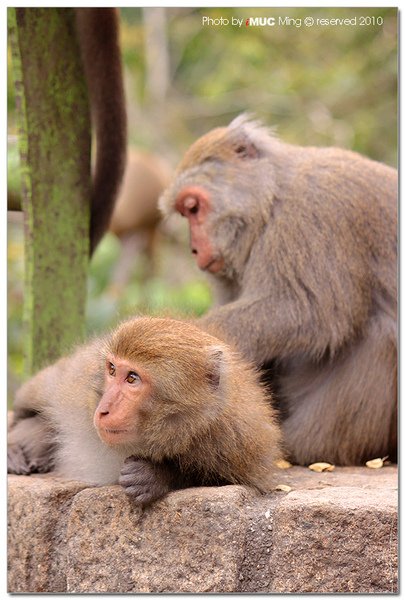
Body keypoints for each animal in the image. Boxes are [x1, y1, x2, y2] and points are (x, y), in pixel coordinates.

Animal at [8, 316, 280, 504]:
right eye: (112, 369)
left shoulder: (238, 444)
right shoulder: (80, 378)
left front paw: (155, 475)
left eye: (132, 379)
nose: (103, 410)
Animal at [159, 115, 396, 466]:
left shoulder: (311, 213)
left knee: (382, 333)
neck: (272, 199)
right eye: (185, 212)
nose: (194, 249)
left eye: (193, 207)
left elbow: (306, 311)